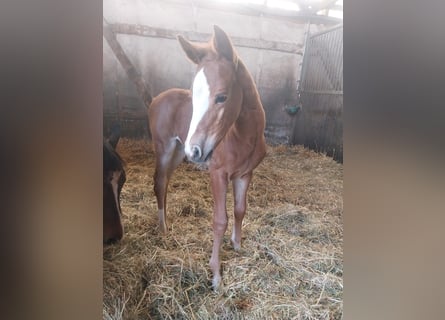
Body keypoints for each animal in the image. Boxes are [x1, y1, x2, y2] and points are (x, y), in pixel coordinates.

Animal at [149, 26, 266, 288]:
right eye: (193, 96)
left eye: (222, 97)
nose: (195, 151)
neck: (242, 136)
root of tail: (156, 98)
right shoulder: (218, 174)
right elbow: (220, 220)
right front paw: (215, 275)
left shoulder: (245, 174)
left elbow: (240, 209)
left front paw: (237, 245)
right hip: (165, 149)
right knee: (159, 182)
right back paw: (163, 227)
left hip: (177, 152)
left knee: (165, 182)